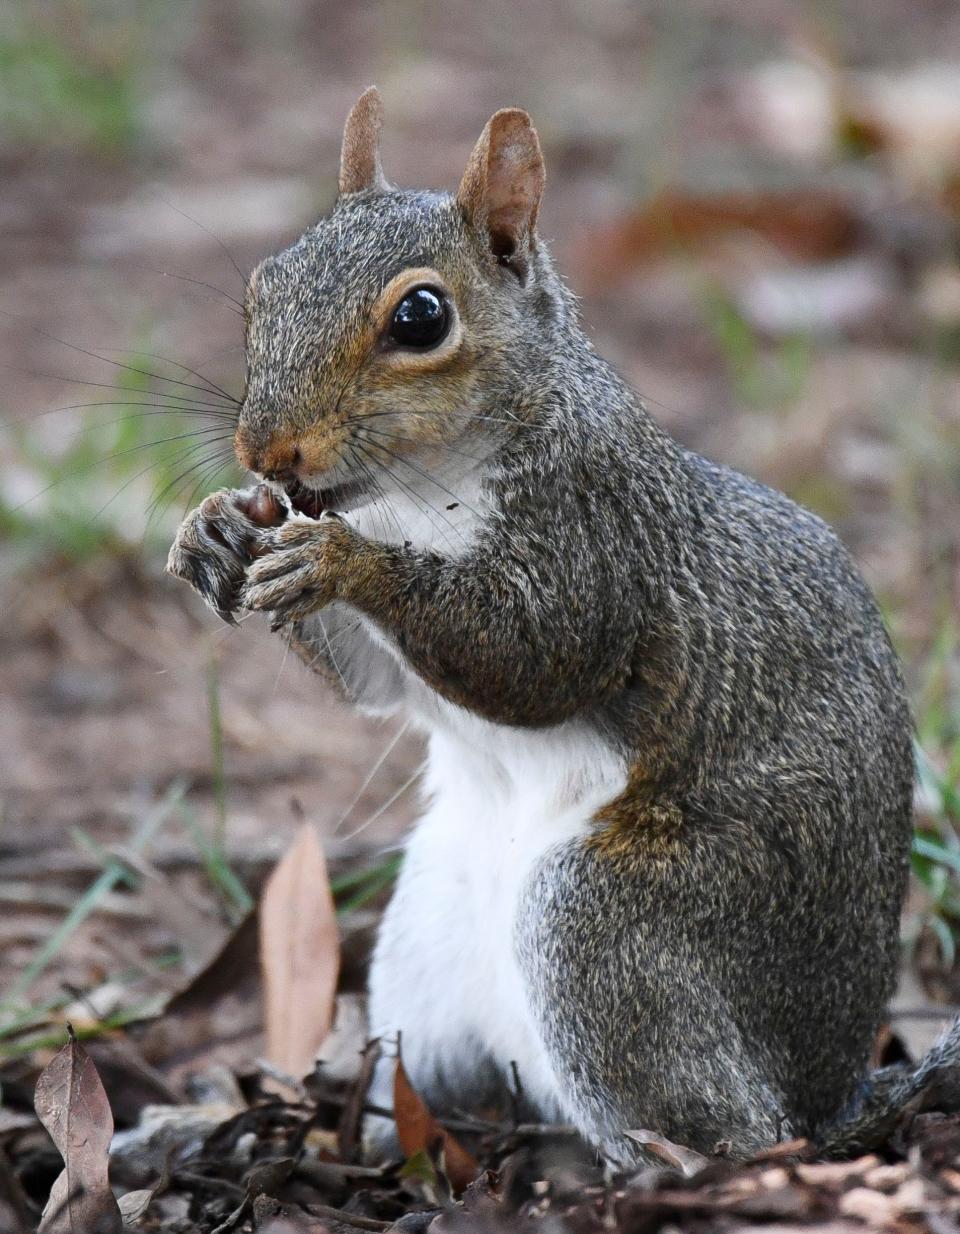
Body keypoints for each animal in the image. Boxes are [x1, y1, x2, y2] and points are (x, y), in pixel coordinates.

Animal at [166, 89, 957, 1164]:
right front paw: (215, 525)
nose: (266, 452)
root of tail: (832, 1094)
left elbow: (532, 658)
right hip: (421, 960)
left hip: (609, 924)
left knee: (734, 1132)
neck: (418, 493)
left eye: (422, 316)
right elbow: (379, 686)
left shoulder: (595, 536)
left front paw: (343, 564)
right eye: (262, 288)